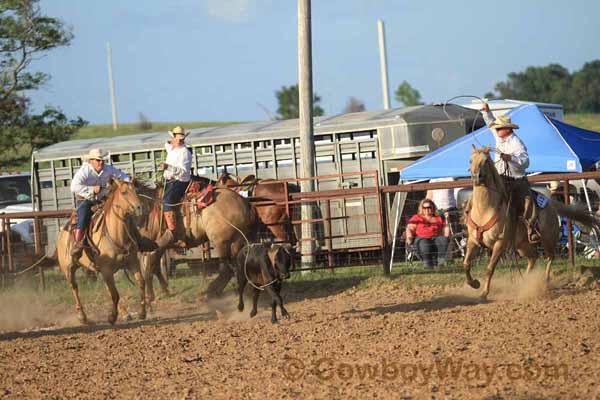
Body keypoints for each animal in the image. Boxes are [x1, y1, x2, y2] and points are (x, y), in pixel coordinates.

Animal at [56, 179, 148, 324]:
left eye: (136, 190)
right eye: (124, 192)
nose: (139, 208)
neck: (116, 234)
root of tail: (62, 231)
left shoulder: (132, 263)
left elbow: (140, 283)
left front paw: (142, 313)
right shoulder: (106, 269)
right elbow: (115, 294)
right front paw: (112, 317)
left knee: (108, 289)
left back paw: (125, 313)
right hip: (68, 268)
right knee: (74, 287)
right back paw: (82, 316)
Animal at [464, 145, 596, 298]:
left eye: (485, 161)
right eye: (470, 160)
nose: (476, 177)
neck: (484, 210)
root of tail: (551, 203)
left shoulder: (499, 243)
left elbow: (489, 268)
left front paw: (484, 293)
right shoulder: (472, 240)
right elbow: (466, 264)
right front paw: (474, 283)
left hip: (548, 240)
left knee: (550, 257)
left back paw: (545, 281)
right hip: (522, 245)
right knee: (533, 258)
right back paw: (524, 283)